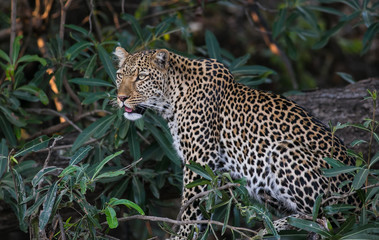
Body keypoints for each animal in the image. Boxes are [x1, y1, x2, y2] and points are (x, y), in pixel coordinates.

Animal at [113, 46, 360, 238]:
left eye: (141, 77)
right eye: (119, 76)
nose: (121, 98)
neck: (172, 99)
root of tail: (358, 200)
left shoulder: (199, 160)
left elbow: (190, 209)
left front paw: (181, 236)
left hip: (284, 151)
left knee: (326, 219)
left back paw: (275, 227)